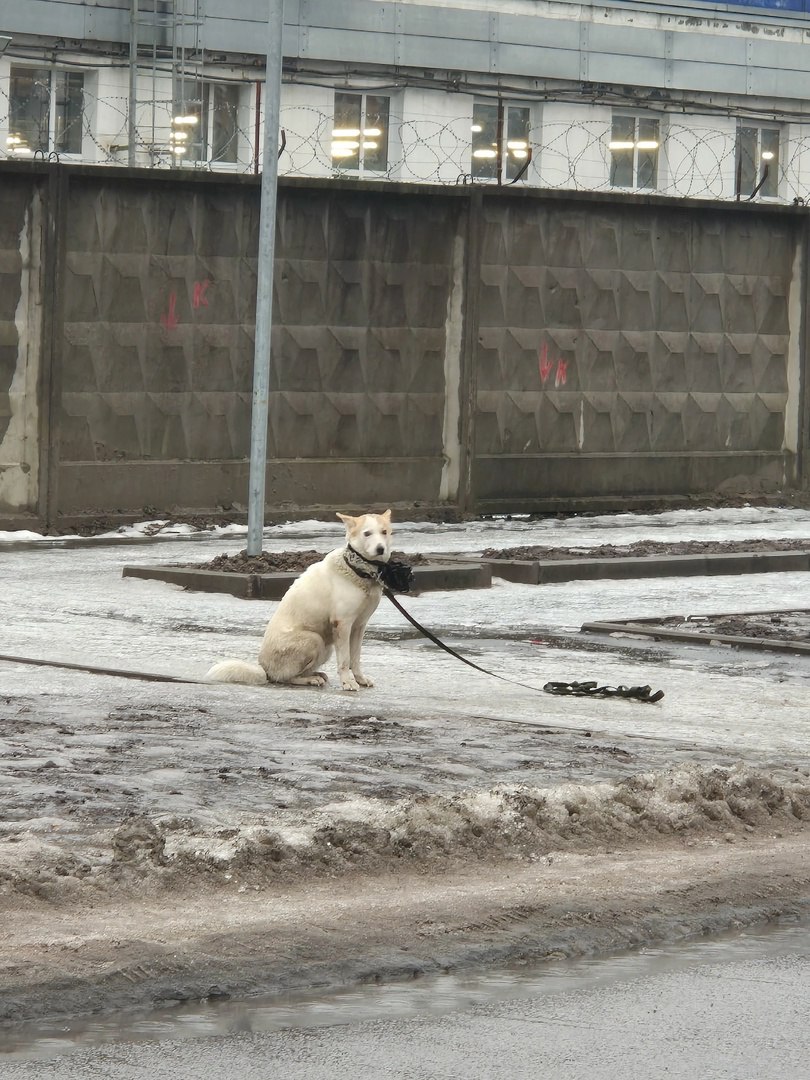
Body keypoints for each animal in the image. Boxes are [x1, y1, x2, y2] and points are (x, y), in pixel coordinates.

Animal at [204, 507, 390, 691]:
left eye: (385, 532)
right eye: (367, 533)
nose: (381, 549)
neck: (358, 570)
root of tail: (264, 669)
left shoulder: (359, 626)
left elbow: (355, 659)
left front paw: (360, 679)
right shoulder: (342, 625)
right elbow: (345, 660)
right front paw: (347, 682)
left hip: (326, 646)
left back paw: (316, 675)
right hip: (314, 639)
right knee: (286, 678)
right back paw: (310, 679)